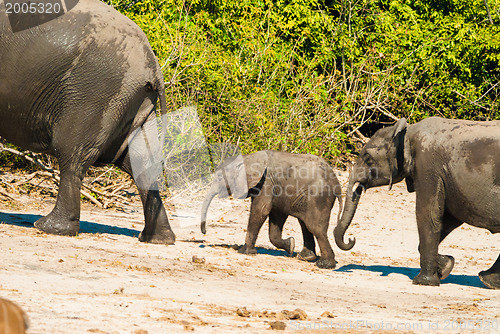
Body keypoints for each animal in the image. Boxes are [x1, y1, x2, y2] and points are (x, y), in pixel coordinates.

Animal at [0, 0, 176, 243]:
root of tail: (154, 67)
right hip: (135, 102)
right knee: (140, 162)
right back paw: (156, 239)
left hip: (95, 94)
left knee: (72, 154)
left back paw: (49, 227)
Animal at [199, 150, 344, 270]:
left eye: (219, 177)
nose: (204, 233)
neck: (247, 158)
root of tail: (336, 183)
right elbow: (275, 217)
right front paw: (290, 245)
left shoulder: (265, 183)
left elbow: (261, 211)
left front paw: (245, 252)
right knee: (305, 225)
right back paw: (306, 257)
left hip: (318, 197)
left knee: (315, 228)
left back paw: (324, 265)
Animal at [334, 116, 500, 288]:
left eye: (367, 157)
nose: (351, 239)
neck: (408, 132)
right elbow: (449, 217)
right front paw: (446, 266)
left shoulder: (427, 166)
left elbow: (428, 213)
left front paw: (423, 282)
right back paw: (488, 281)